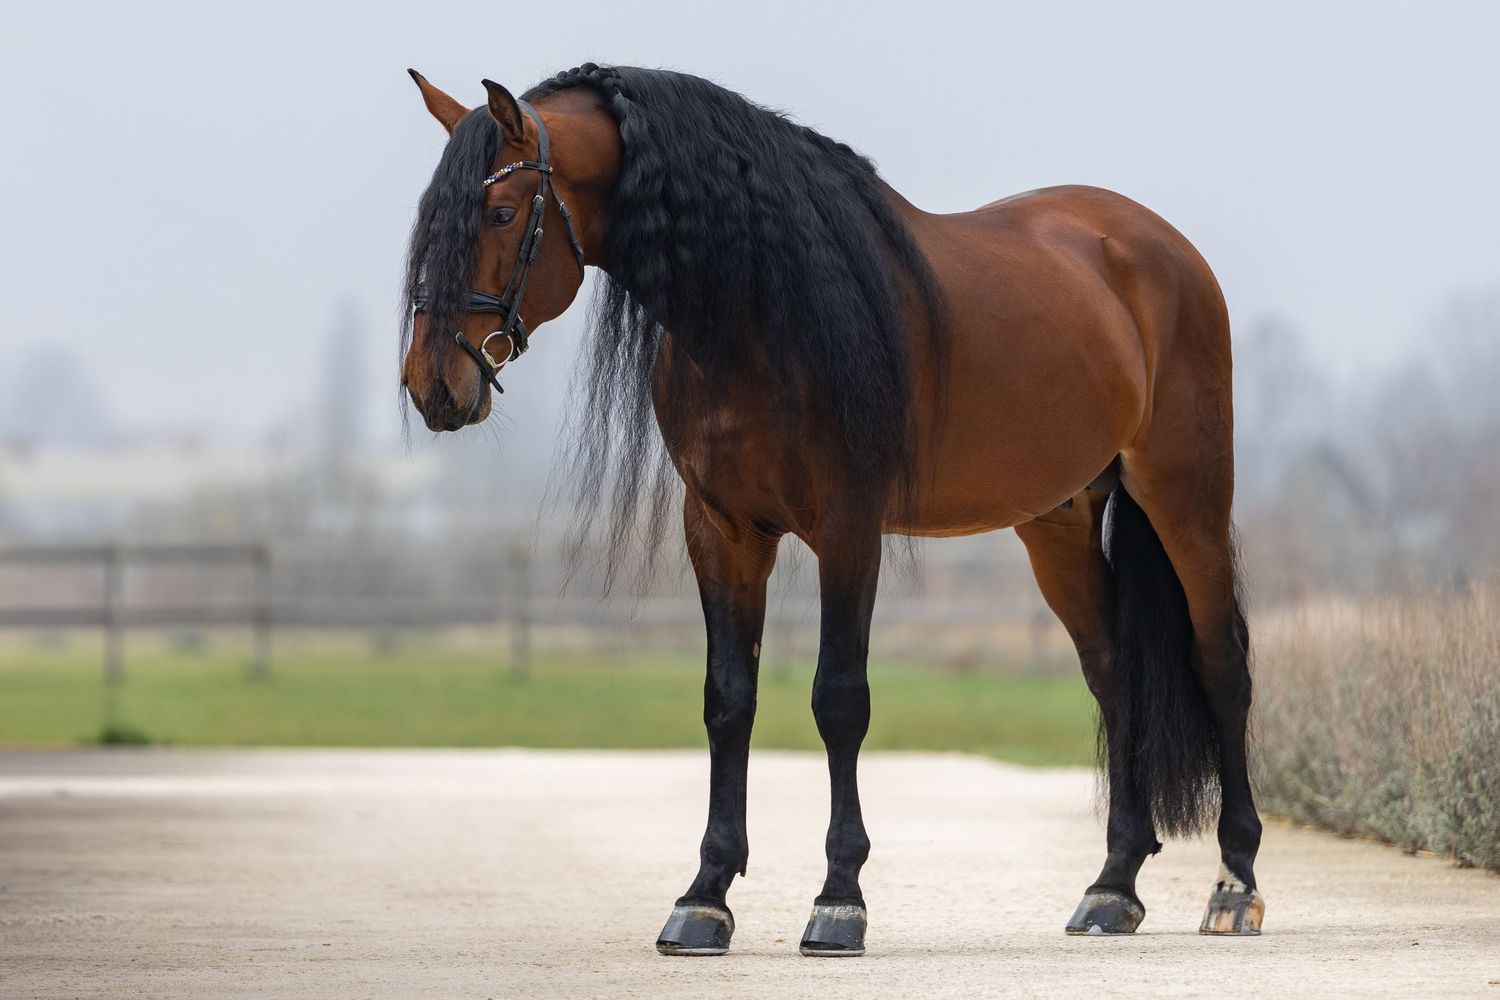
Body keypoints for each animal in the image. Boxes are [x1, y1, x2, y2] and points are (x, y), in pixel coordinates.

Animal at [399, 63, 1263, 956]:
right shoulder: (721, 530)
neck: (764, 309)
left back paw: (1234, 884)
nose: (431, 386)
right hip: (1056, 520)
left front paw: (838, 900)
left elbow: (839, 699)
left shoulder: (848, 526)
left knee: (1221, 659)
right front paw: (704, 898)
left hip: (1186, 495)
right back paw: (1111, 887)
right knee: (1113, 671)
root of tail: (1154, 245)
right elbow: (728, 699)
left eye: (502, 212)